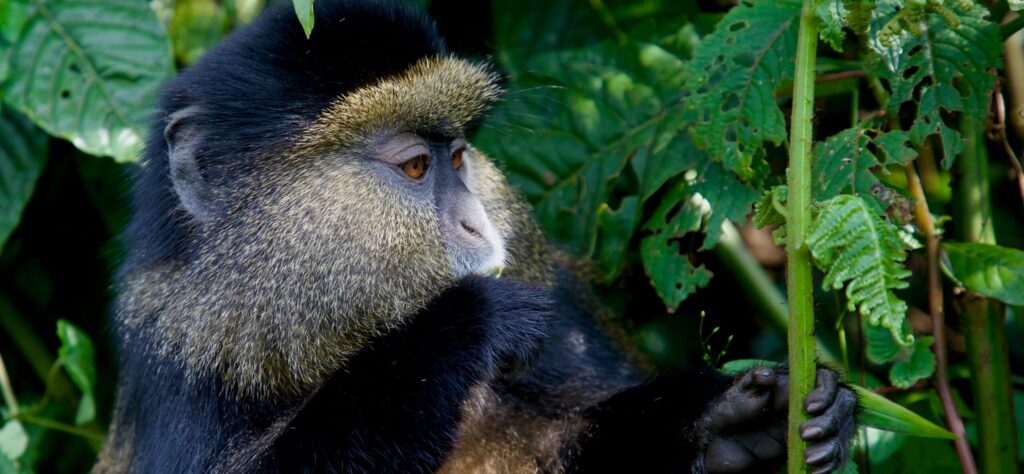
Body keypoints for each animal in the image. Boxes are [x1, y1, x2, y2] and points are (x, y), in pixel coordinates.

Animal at [94, 1, 857, 473]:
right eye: (414, 166)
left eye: (458, 155)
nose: (476, 223)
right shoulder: (181, 365)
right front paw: (462, 326)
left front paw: (729, 425)